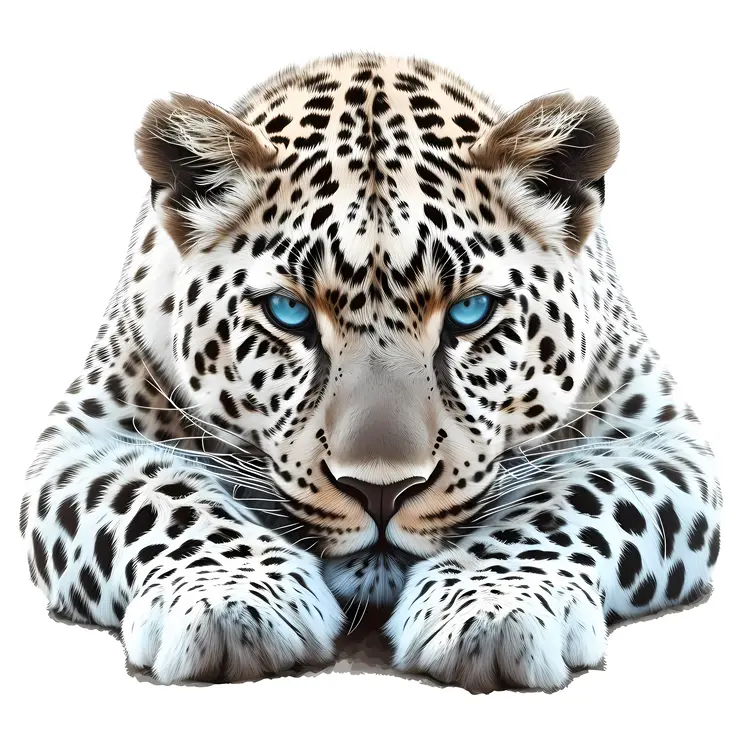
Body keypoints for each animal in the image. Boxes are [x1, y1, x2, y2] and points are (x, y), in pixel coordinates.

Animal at [19, 52, 722, 692]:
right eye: (288, 313)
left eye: (469, 311)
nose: (381, 490)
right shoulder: (78, 441)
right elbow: (163, 497)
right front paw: (232, 600)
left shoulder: (663, 438)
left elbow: (572, 497)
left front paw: (494, 607)